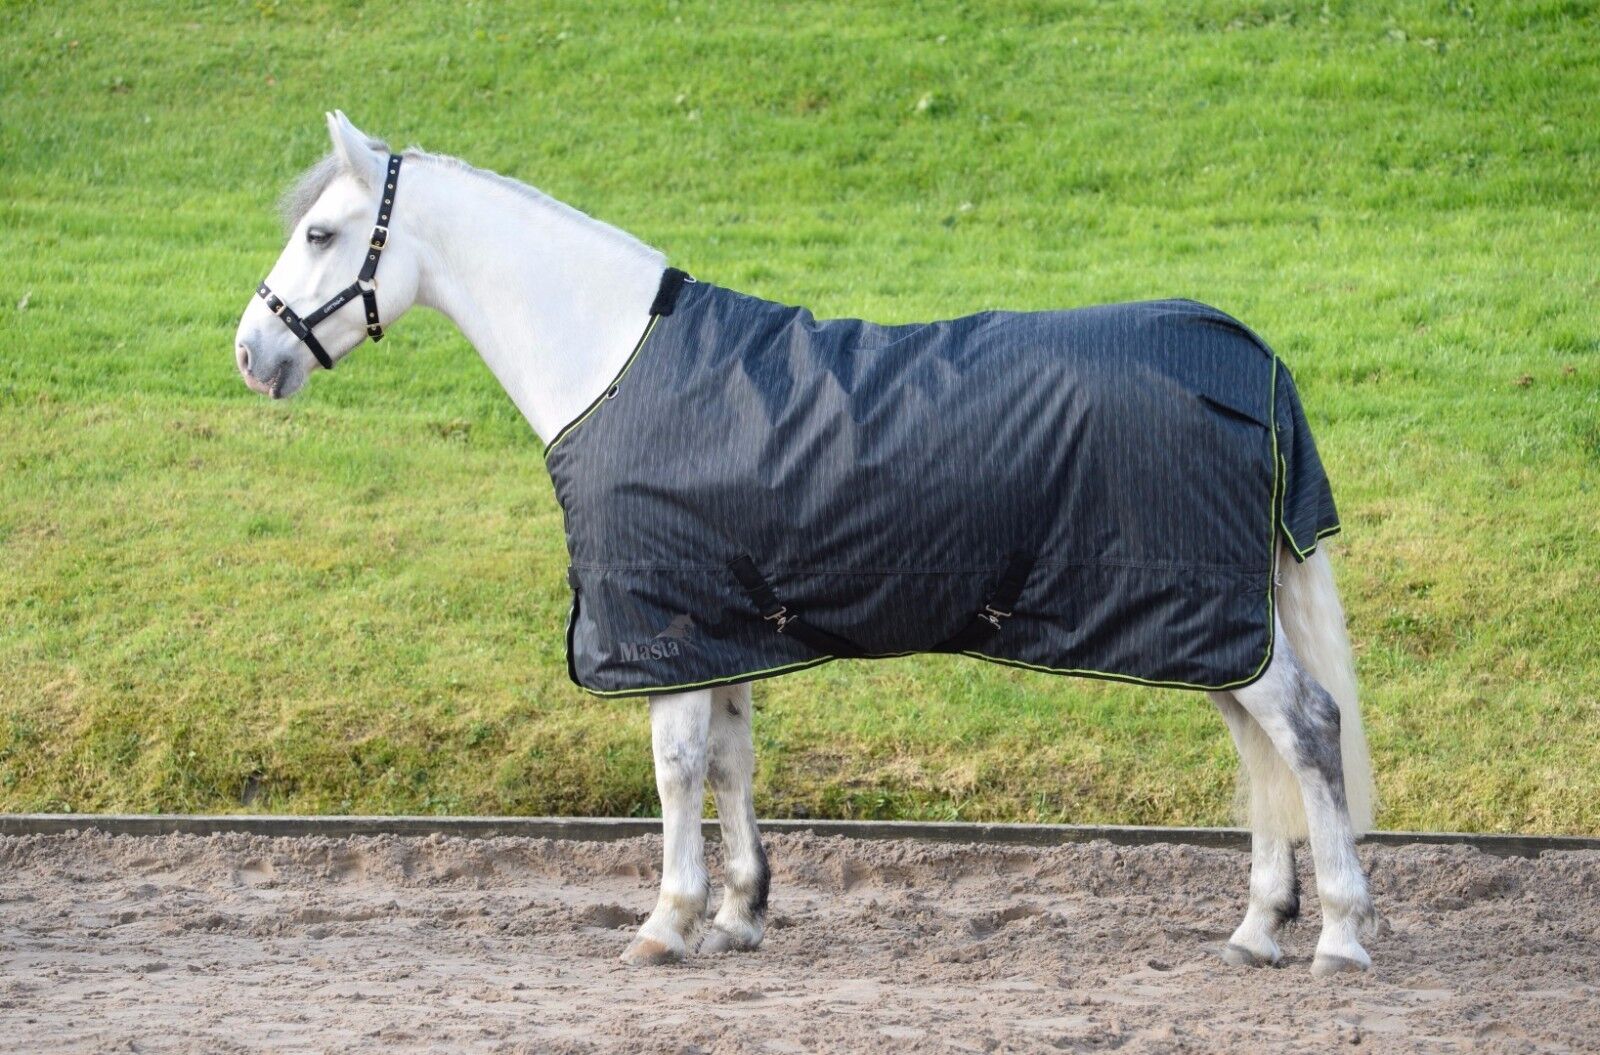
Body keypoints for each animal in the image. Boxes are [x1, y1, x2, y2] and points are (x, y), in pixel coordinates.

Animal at [234, 113, 1378, 976]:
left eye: (324, 234)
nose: (251, 352)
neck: (617, 363)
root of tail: (1248, 355)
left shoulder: (667, 622)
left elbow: (675, 767)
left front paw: (666, 921)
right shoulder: (727, 626)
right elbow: (731, 761)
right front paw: (739, 912)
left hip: (1206, 618)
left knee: (1307, 730)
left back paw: (1338, 934)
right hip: (1209, 625)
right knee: (1258, 746)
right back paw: (1256, 927)